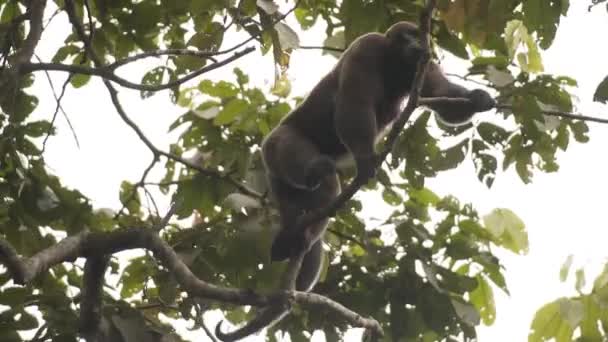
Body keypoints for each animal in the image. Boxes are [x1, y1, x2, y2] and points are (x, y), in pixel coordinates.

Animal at [216, 20, 496, 340]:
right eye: (407, 36)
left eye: (419, 36)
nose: (417, 45)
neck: (394, 62)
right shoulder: (367, 47)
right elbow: (354, 103)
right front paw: (364, 159)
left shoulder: (426, 66)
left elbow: (442, 95)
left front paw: (477, 98)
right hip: (276, 145)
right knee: (320, 171)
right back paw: (316, 172)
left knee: (317, 205)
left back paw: (299, 238)